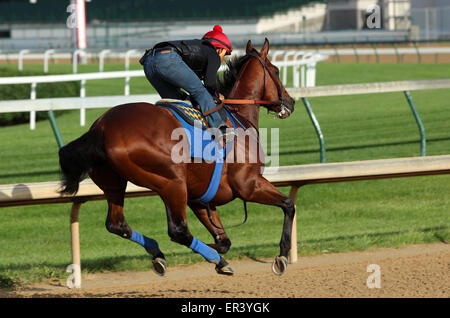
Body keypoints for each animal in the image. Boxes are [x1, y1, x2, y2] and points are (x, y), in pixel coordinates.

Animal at [59, 39, 296, 276]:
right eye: (276, 70)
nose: (291, 102)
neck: (237, 117)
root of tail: (101, 128)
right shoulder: (248, 185)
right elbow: (288, 204)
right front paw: (282, 256)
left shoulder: (200, 197)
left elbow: (224, 240)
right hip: (172, 181)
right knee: (178, 230)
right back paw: (210, 259)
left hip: (115, 184)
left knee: (117, 224)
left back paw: (161, 253)